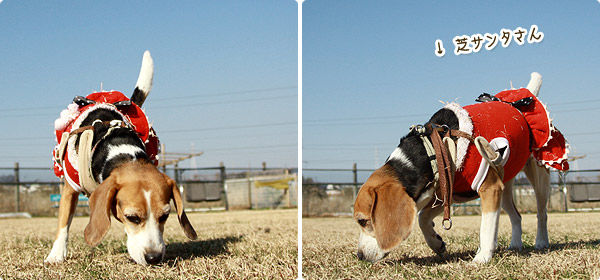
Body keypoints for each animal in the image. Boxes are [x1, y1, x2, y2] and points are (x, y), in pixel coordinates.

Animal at [47, 50, 197, 264]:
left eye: (165, 216)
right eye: (133, 218)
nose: (153, 258)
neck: (119, 150)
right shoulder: (70, 188)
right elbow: (63, 223)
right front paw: (56, 254)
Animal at [354, 72, 568, 262]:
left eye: (363, 221)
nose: (360, 256)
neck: (435, 146)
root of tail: (521, 102)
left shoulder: (489, 188)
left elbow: (486, 227)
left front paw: (482, 258)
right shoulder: (445, 192)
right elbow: (423, 218)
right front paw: (437, 243)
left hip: (538, 178)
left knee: (542, 213)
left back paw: (541, 242)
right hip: (504, 185)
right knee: (516, 217)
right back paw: (515, 245)